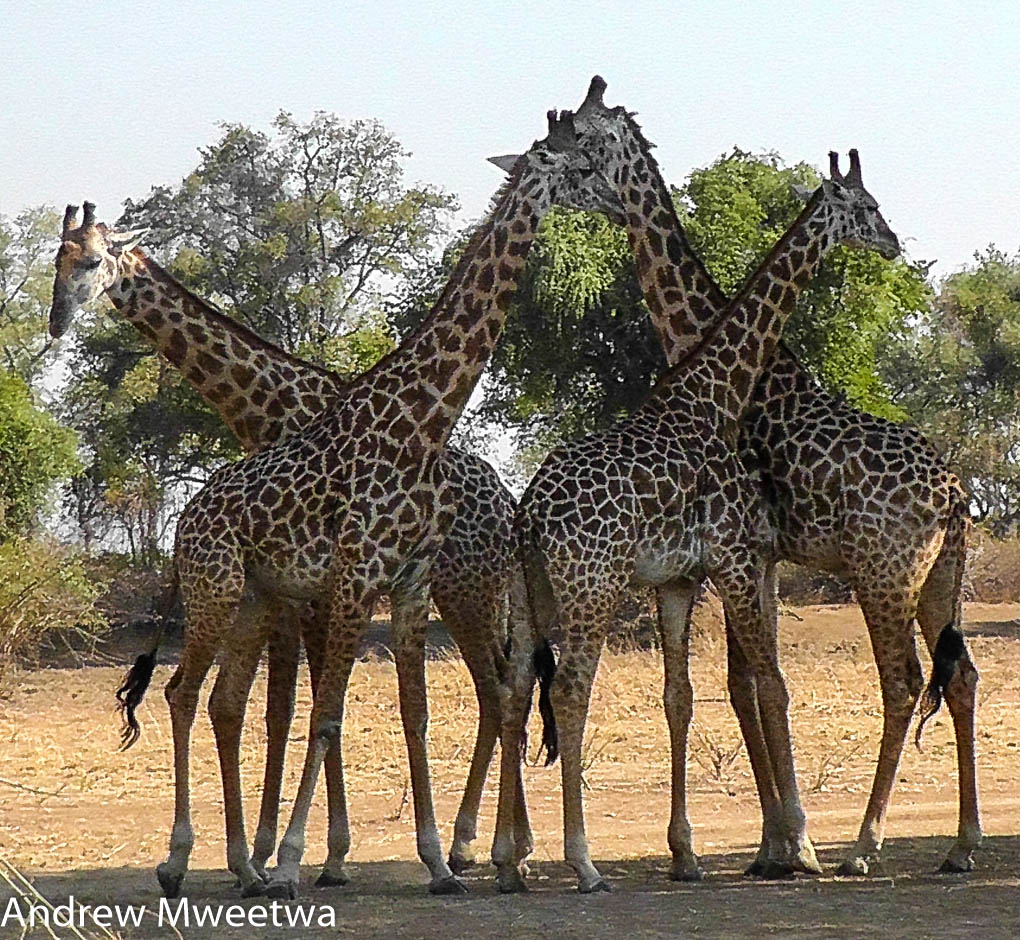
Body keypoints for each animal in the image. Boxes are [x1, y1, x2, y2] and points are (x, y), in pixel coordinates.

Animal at [48, 202, 522, 884]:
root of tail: (507, 503)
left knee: (502, 690)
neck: (267, 406)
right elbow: (277, 708)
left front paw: (312, 855)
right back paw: (494, 848)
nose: (57, 321)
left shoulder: (313, 588)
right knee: (503, 689)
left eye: (89, 262)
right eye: (55, 262)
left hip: (468, 591)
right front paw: (287, 851)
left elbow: (295, 707)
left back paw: (483, 847)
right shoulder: (292, 589)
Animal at [567, 76, 979, 876]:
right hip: (937, 577)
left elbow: (756, 684)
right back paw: (961, 844)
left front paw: (791, 843)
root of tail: (953, 494)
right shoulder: (759, 558)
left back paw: (863, 845)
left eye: (587, 133)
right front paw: (772, 844)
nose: (890, 241)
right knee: (962, 676)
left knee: (904, 683)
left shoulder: (748, 551)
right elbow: (746, 684)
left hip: (881, 573)